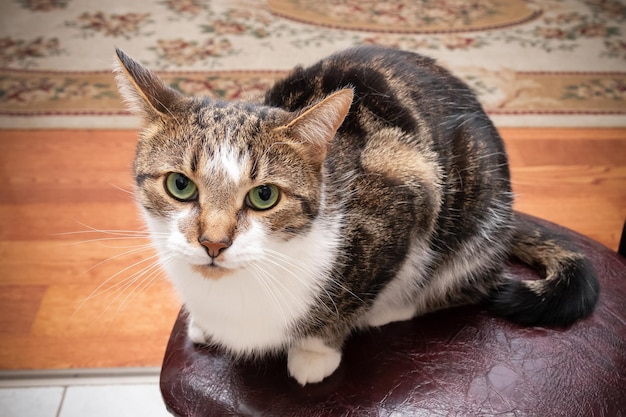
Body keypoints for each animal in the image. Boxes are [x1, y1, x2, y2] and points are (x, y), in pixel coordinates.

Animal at [114, 44, 596, 384]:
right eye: (180, 185)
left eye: (264, 196)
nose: (212, 243)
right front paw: (207, 327)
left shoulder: (406, 188)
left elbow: (353, 295)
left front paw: (315, 352)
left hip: (475, 190)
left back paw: (394, 307)